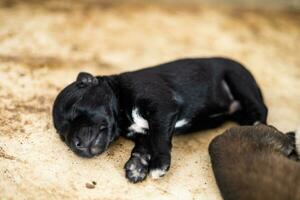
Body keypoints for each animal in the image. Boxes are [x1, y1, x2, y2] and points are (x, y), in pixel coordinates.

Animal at [52, 57, 268, 183]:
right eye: (62, 136)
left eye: (75, 109)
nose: (75, 144)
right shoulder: (142, 133)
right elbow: (142, 147)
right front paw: (137, 166)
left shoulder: (161, 108)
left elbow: (158, 138)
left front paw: (158, 164)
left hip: (238, 80)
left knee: (260, 109)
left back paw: (259, 128)